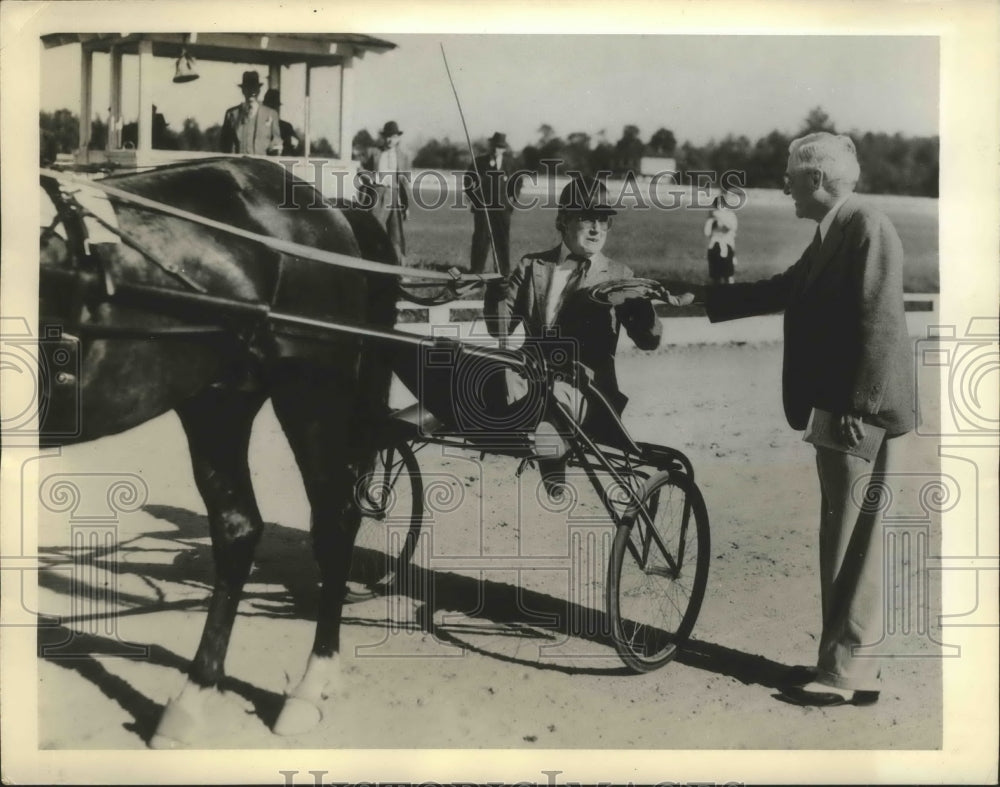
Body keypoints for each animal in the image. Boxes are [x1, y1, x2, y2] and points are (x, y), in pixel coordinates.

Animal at [39, 157, 398, 748]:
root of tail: (323, 204)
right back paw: (193, 698)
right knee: (238, 529)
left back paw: (309, 684)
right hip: (217, 401)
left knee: (333, 523)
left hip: (309, 392)